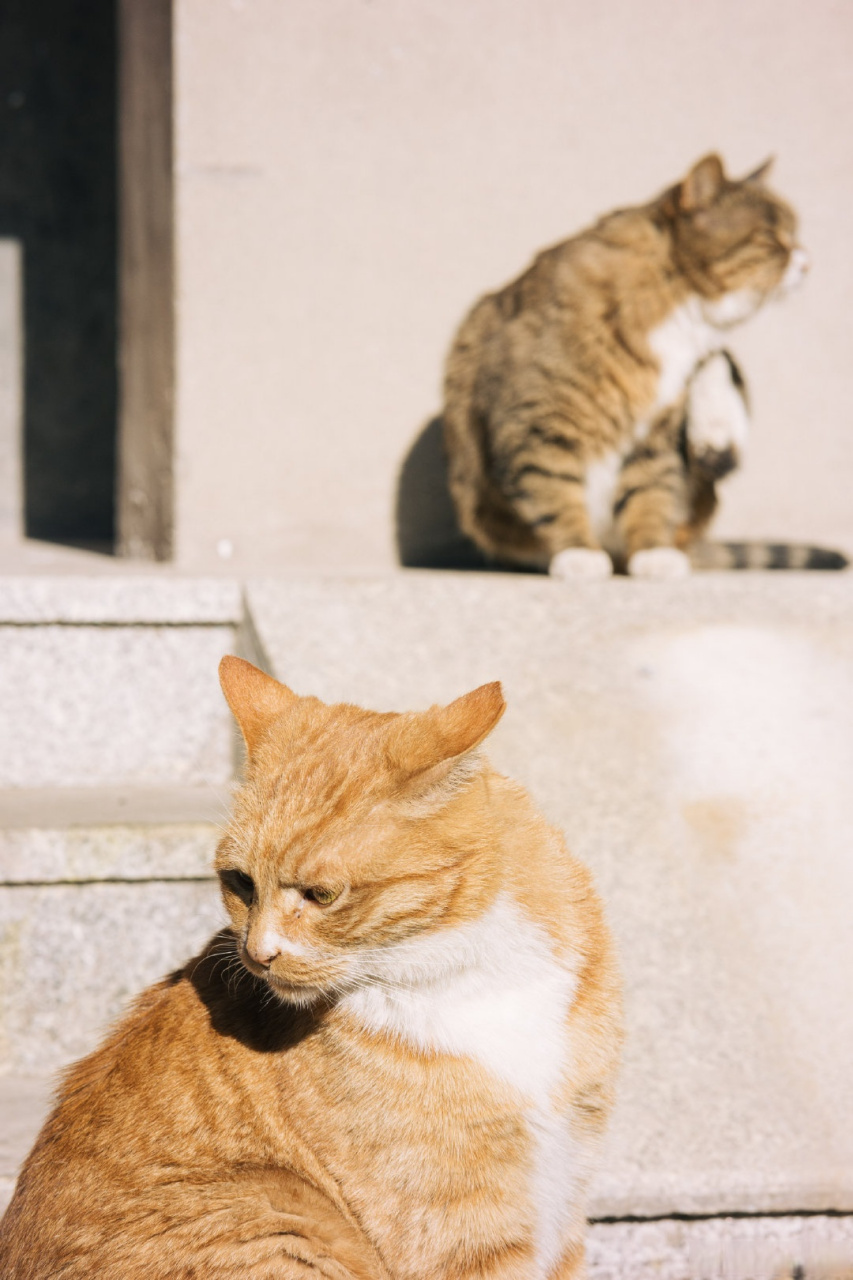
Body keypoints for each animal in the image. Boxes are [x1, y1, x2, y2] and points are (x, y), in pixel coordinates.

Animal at [3, 655, 622, 1274]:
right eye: (241, 883)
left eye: (322, 895)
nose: (257, 955)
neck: (469, 975)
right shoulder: (463, 1237)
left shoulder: (565, 1199)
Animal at [440, 152, 840, 583]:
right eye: (771, 238)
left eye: (794, 234)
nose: (808, 262)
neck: (680, 315)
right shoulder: (536, 424)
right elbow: (552, 489)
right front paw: (578, 552)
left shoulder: (654, 438)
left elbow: (651, 493)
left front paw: (652, 552)